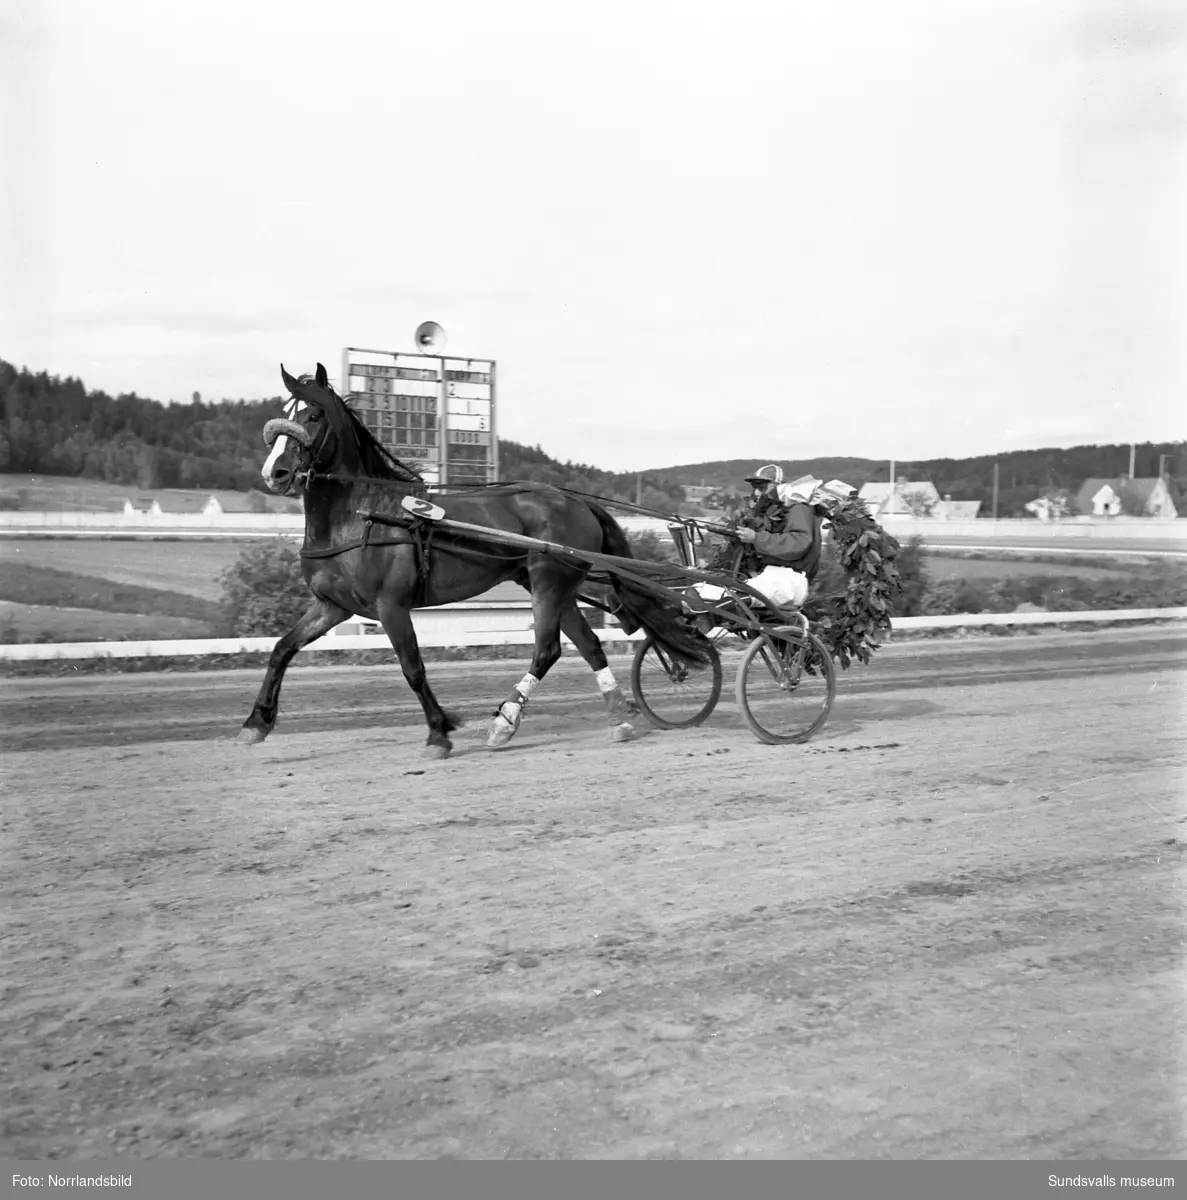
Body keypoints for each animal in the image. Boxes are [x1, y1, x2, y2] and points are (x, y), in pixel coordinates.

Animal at [236, 364, 710, 758]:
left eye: (314, 415)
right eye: (284, 411)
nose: (276, 472)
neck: (364, 516)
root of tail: (576, 501)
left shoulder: (391, 605)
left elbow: (413, 668)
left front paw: (438, 733)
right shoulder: (332, 606)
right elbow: (281, 649)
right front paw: (255, 723)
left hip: (548, 580)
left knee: (547, 648)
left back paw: (505, 723)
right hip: (554, 585)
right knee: (588, 645)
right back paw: (620, 719)